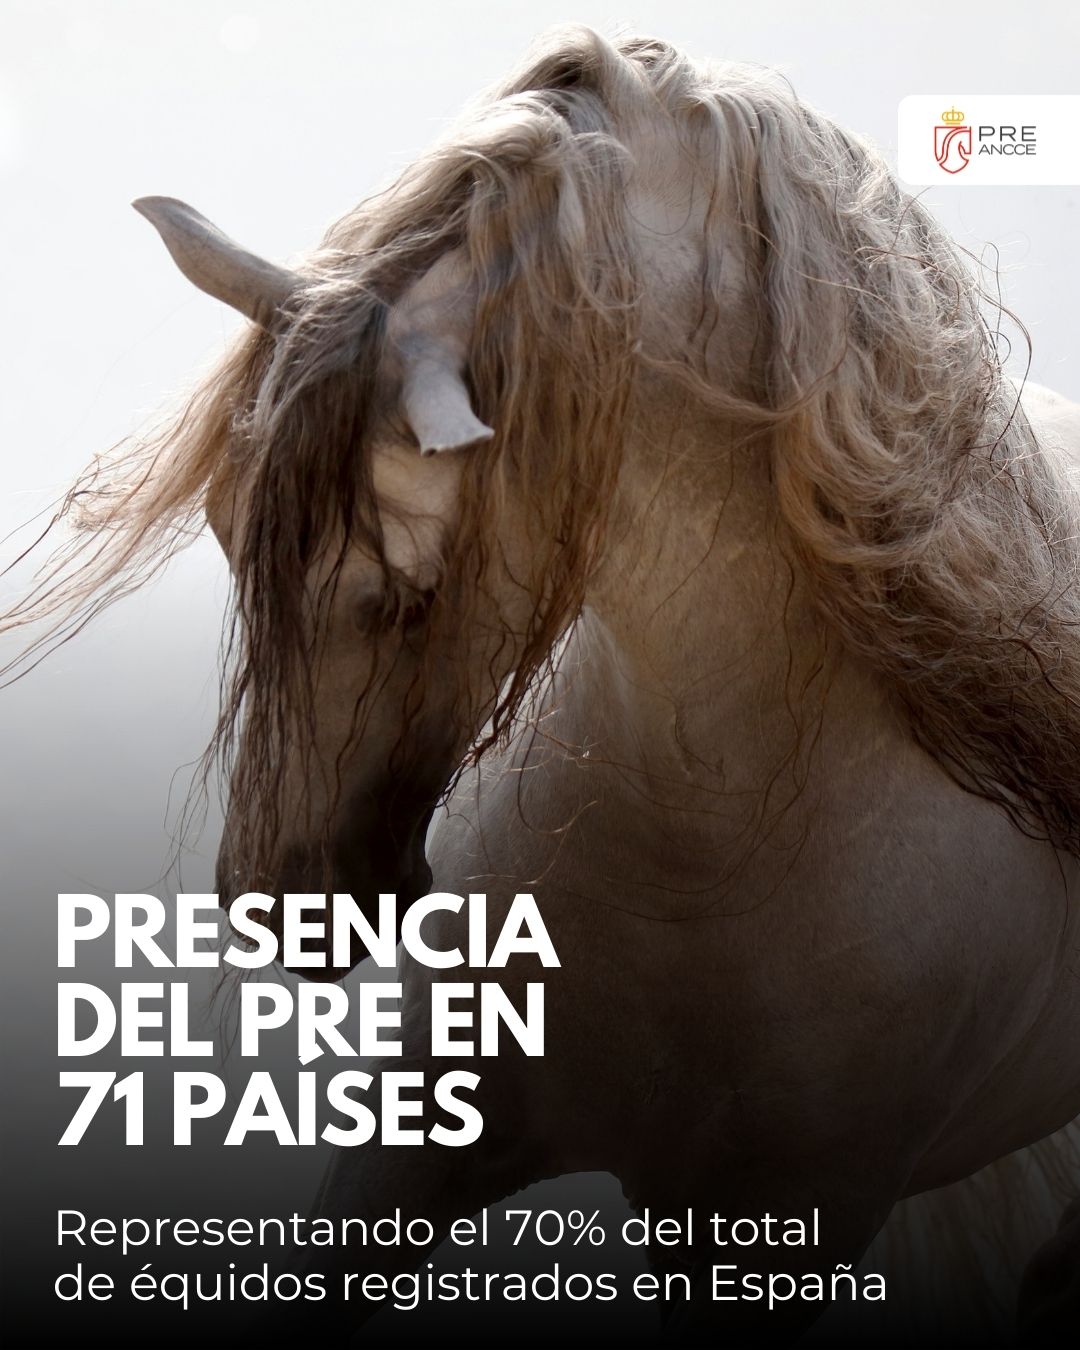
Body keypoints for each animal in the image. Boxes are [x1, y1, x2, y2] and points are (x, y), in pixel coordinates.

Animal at [6, 25, 1080, 1344]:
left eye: (403, 587)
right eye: (222, 526)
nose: (283, 896)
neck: (710, 841)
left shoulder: (775, 1242)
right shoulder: (411, 1151)